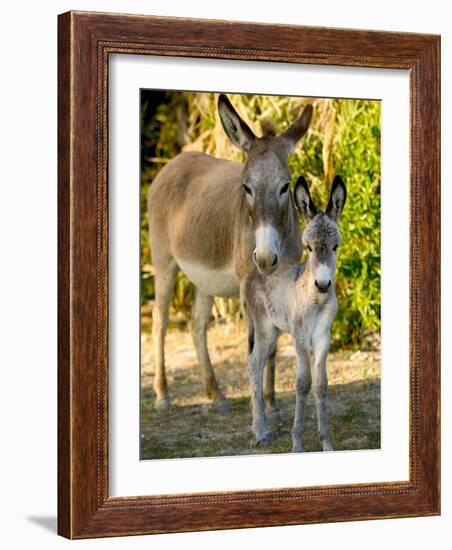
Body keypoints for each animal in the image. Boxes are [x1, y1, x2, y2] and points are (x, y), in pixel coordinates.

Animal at [244, 177, 346, 452]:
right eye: (308, 248)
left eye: (335, 247)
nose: (323, 284)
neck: (316, 300)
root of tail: (255, 272)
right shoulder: (300, 336)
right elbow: (303, 383)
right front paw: (297, 443)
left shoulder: (323, 336)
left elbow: (320, 384)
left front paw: (326, 444)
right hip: (264, 329)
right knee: (254, 363)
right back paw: (260, 431)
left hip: (276, 332)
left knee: (261, 362)